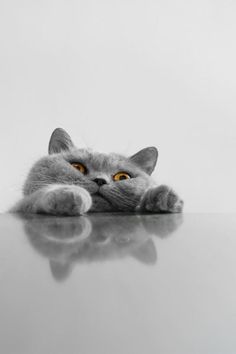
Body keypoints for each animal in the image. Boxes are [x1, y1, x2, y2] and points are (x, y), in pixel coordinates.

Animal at [9, 129, 184, 214]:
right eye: (77, 167)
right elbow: (32, 199)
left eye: (123, 177)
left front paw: (163, 197)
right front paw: (68, 194)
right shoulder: (18, 207)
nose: (100, 180)